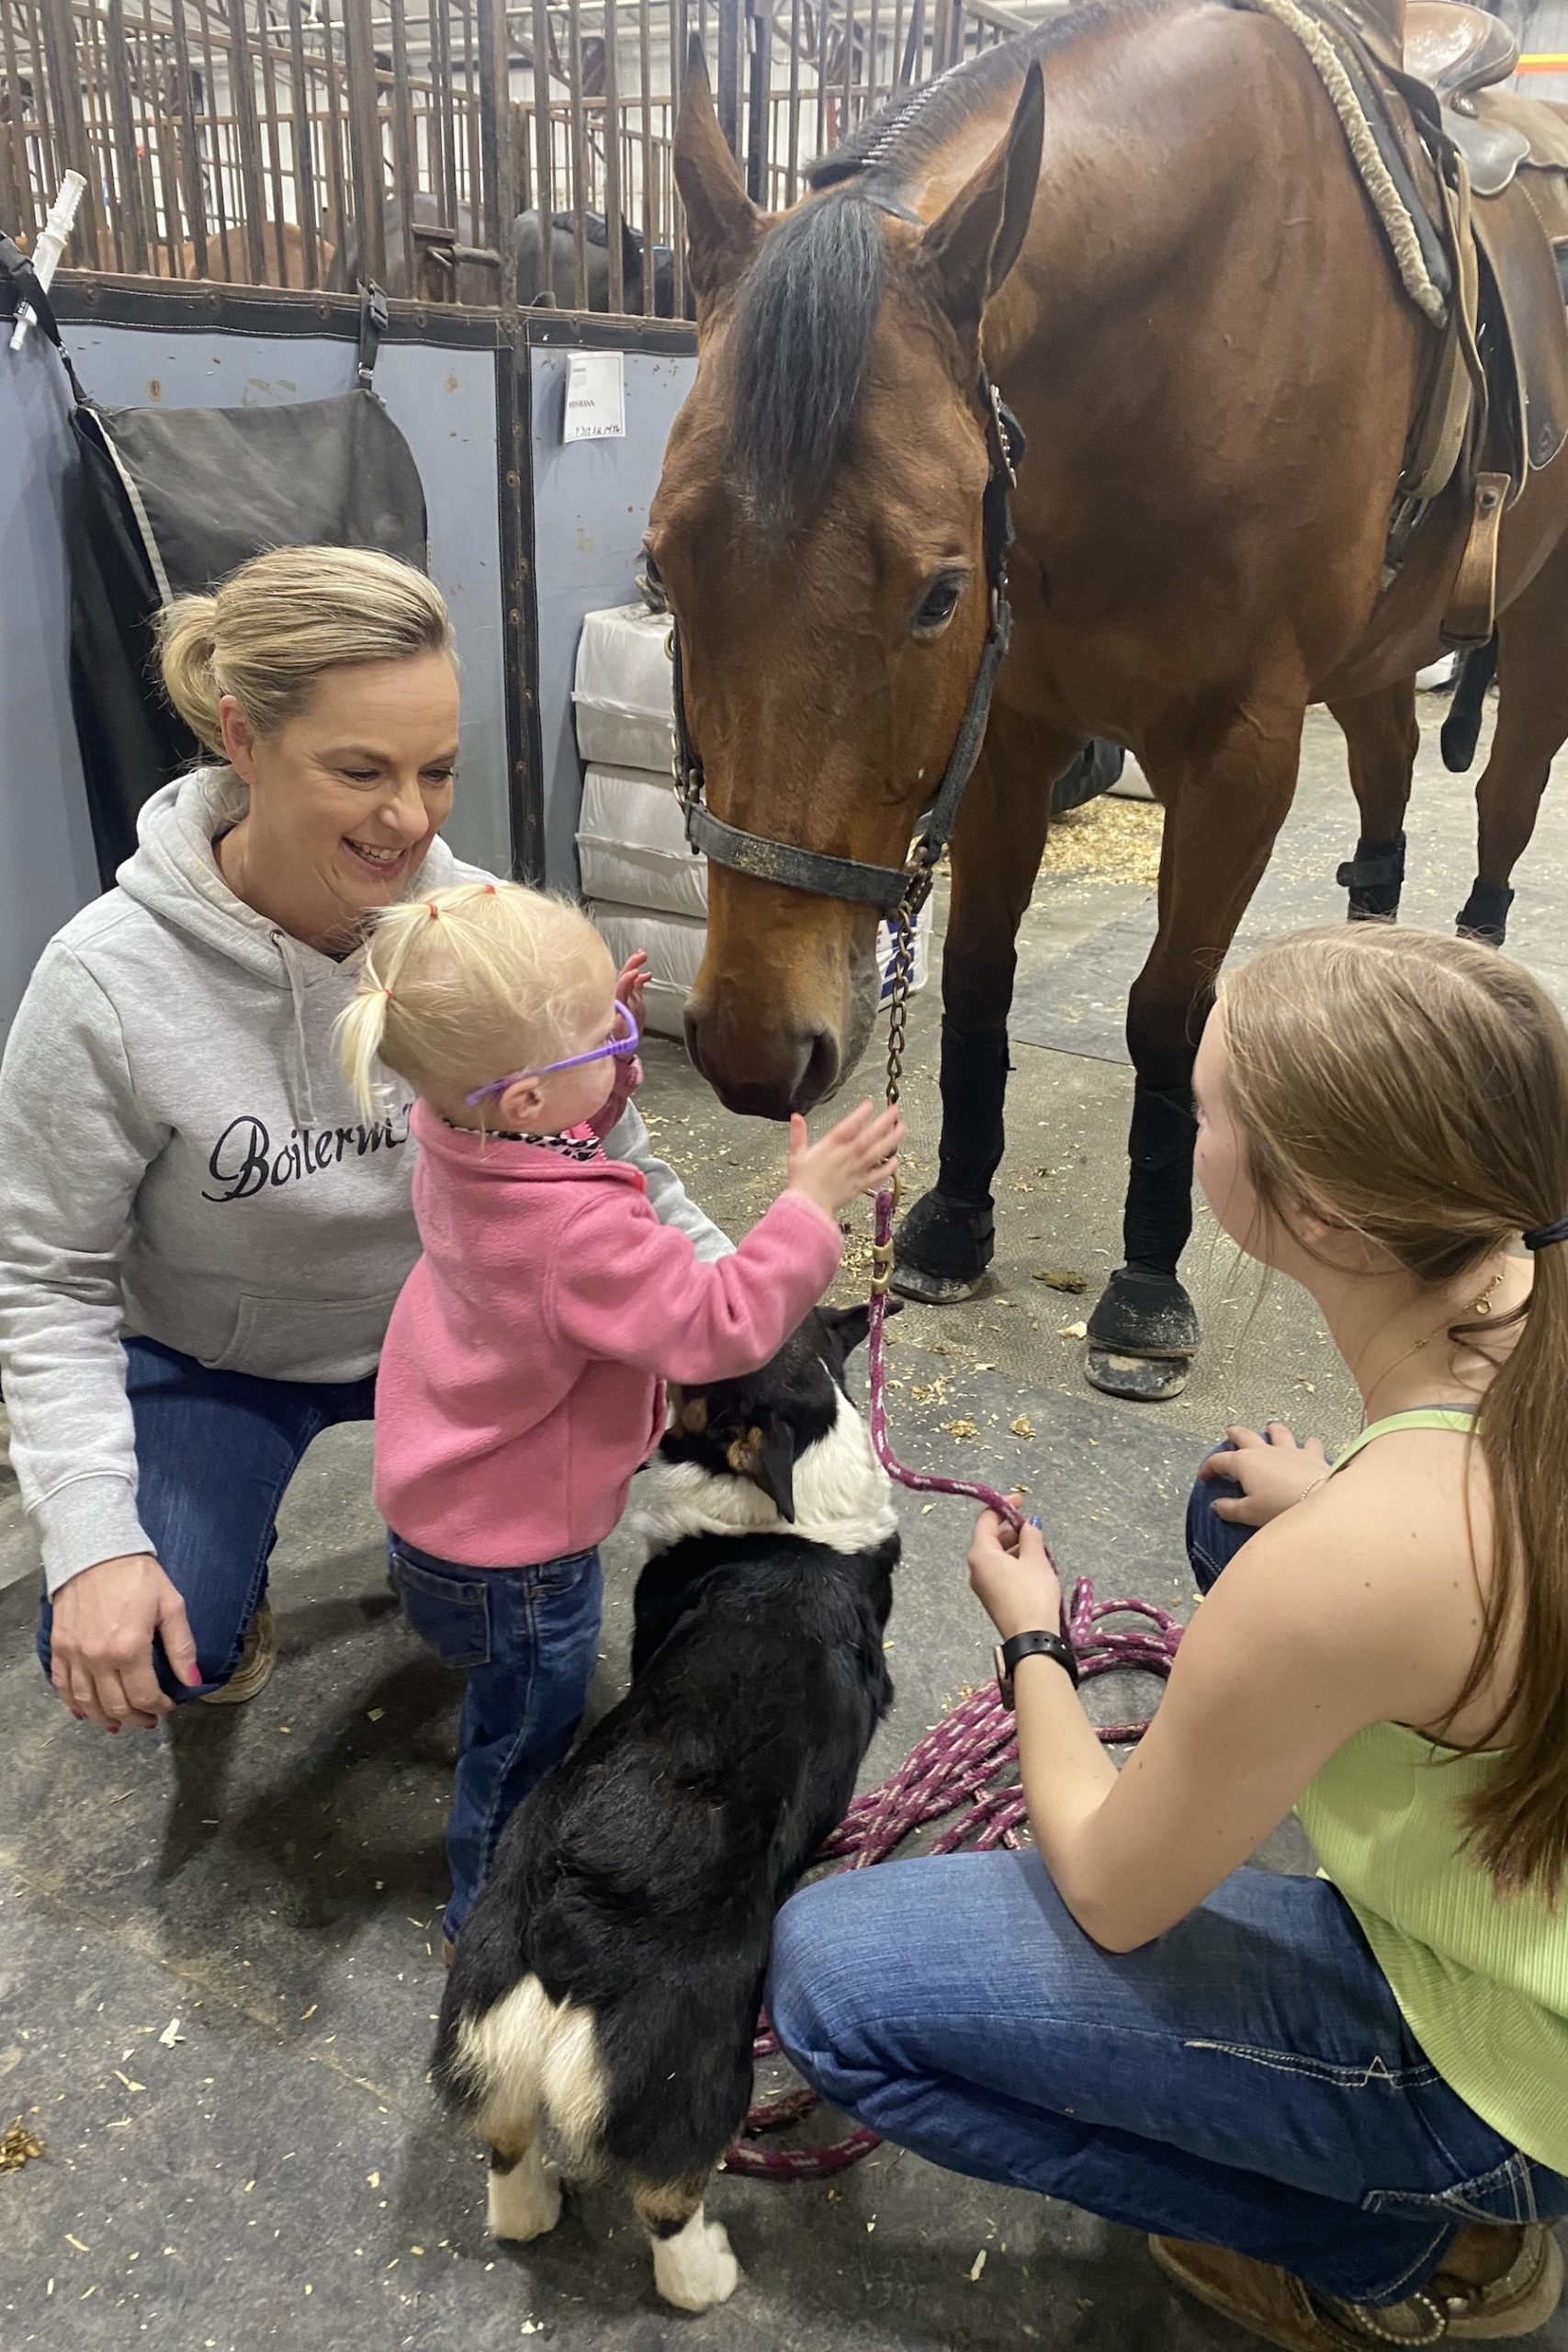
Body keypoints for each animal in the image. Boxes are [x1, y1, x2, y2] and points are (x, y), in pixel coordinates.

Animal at [432, 1307, 893, 2314]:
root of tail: (572, 1932)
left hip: (486, 2019)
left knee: (507, 2148)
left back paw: (534, 2209)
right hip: (702, 2074)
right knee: (668, 2206)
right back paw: (709, 2274)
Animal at [649, 0, 1568, 1392]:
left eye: (938, 593)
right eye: (661, 567)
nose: (756, 1049)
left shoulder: (1238, 751)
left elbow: (1166, 1016)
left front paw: (1145, 1280)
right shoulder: (1012, 731)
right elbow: (979, 976)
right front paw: (952, 1222)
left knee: (1504, 809)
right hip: (1372, 664)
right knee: (1389, 787)